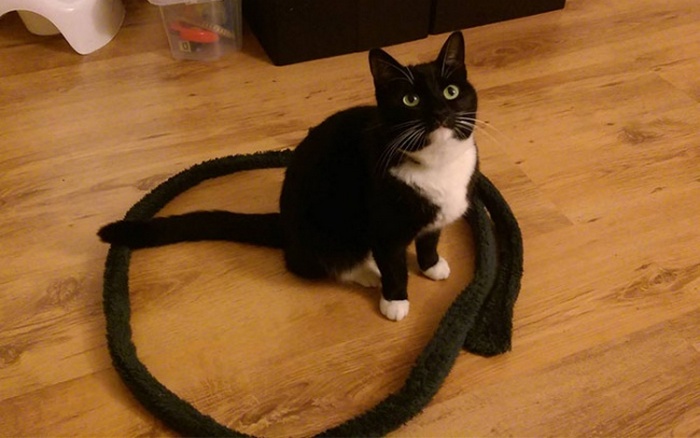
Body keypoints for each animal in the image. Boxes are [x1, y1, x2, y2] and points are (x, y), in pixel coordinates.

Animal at [99, 31, 479, 321]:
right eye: (410, 99)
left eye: (451, 92)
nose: (441, 112)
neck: (437, 166)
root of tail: (283, 221)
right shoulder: (384, 228)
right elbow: (395, 265)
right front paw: (395, 301)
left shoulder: (436, 215)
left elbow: (430, 239)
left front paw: (431, 266)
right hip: (324, 231)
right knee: (314, 262)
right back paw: (367, 272)